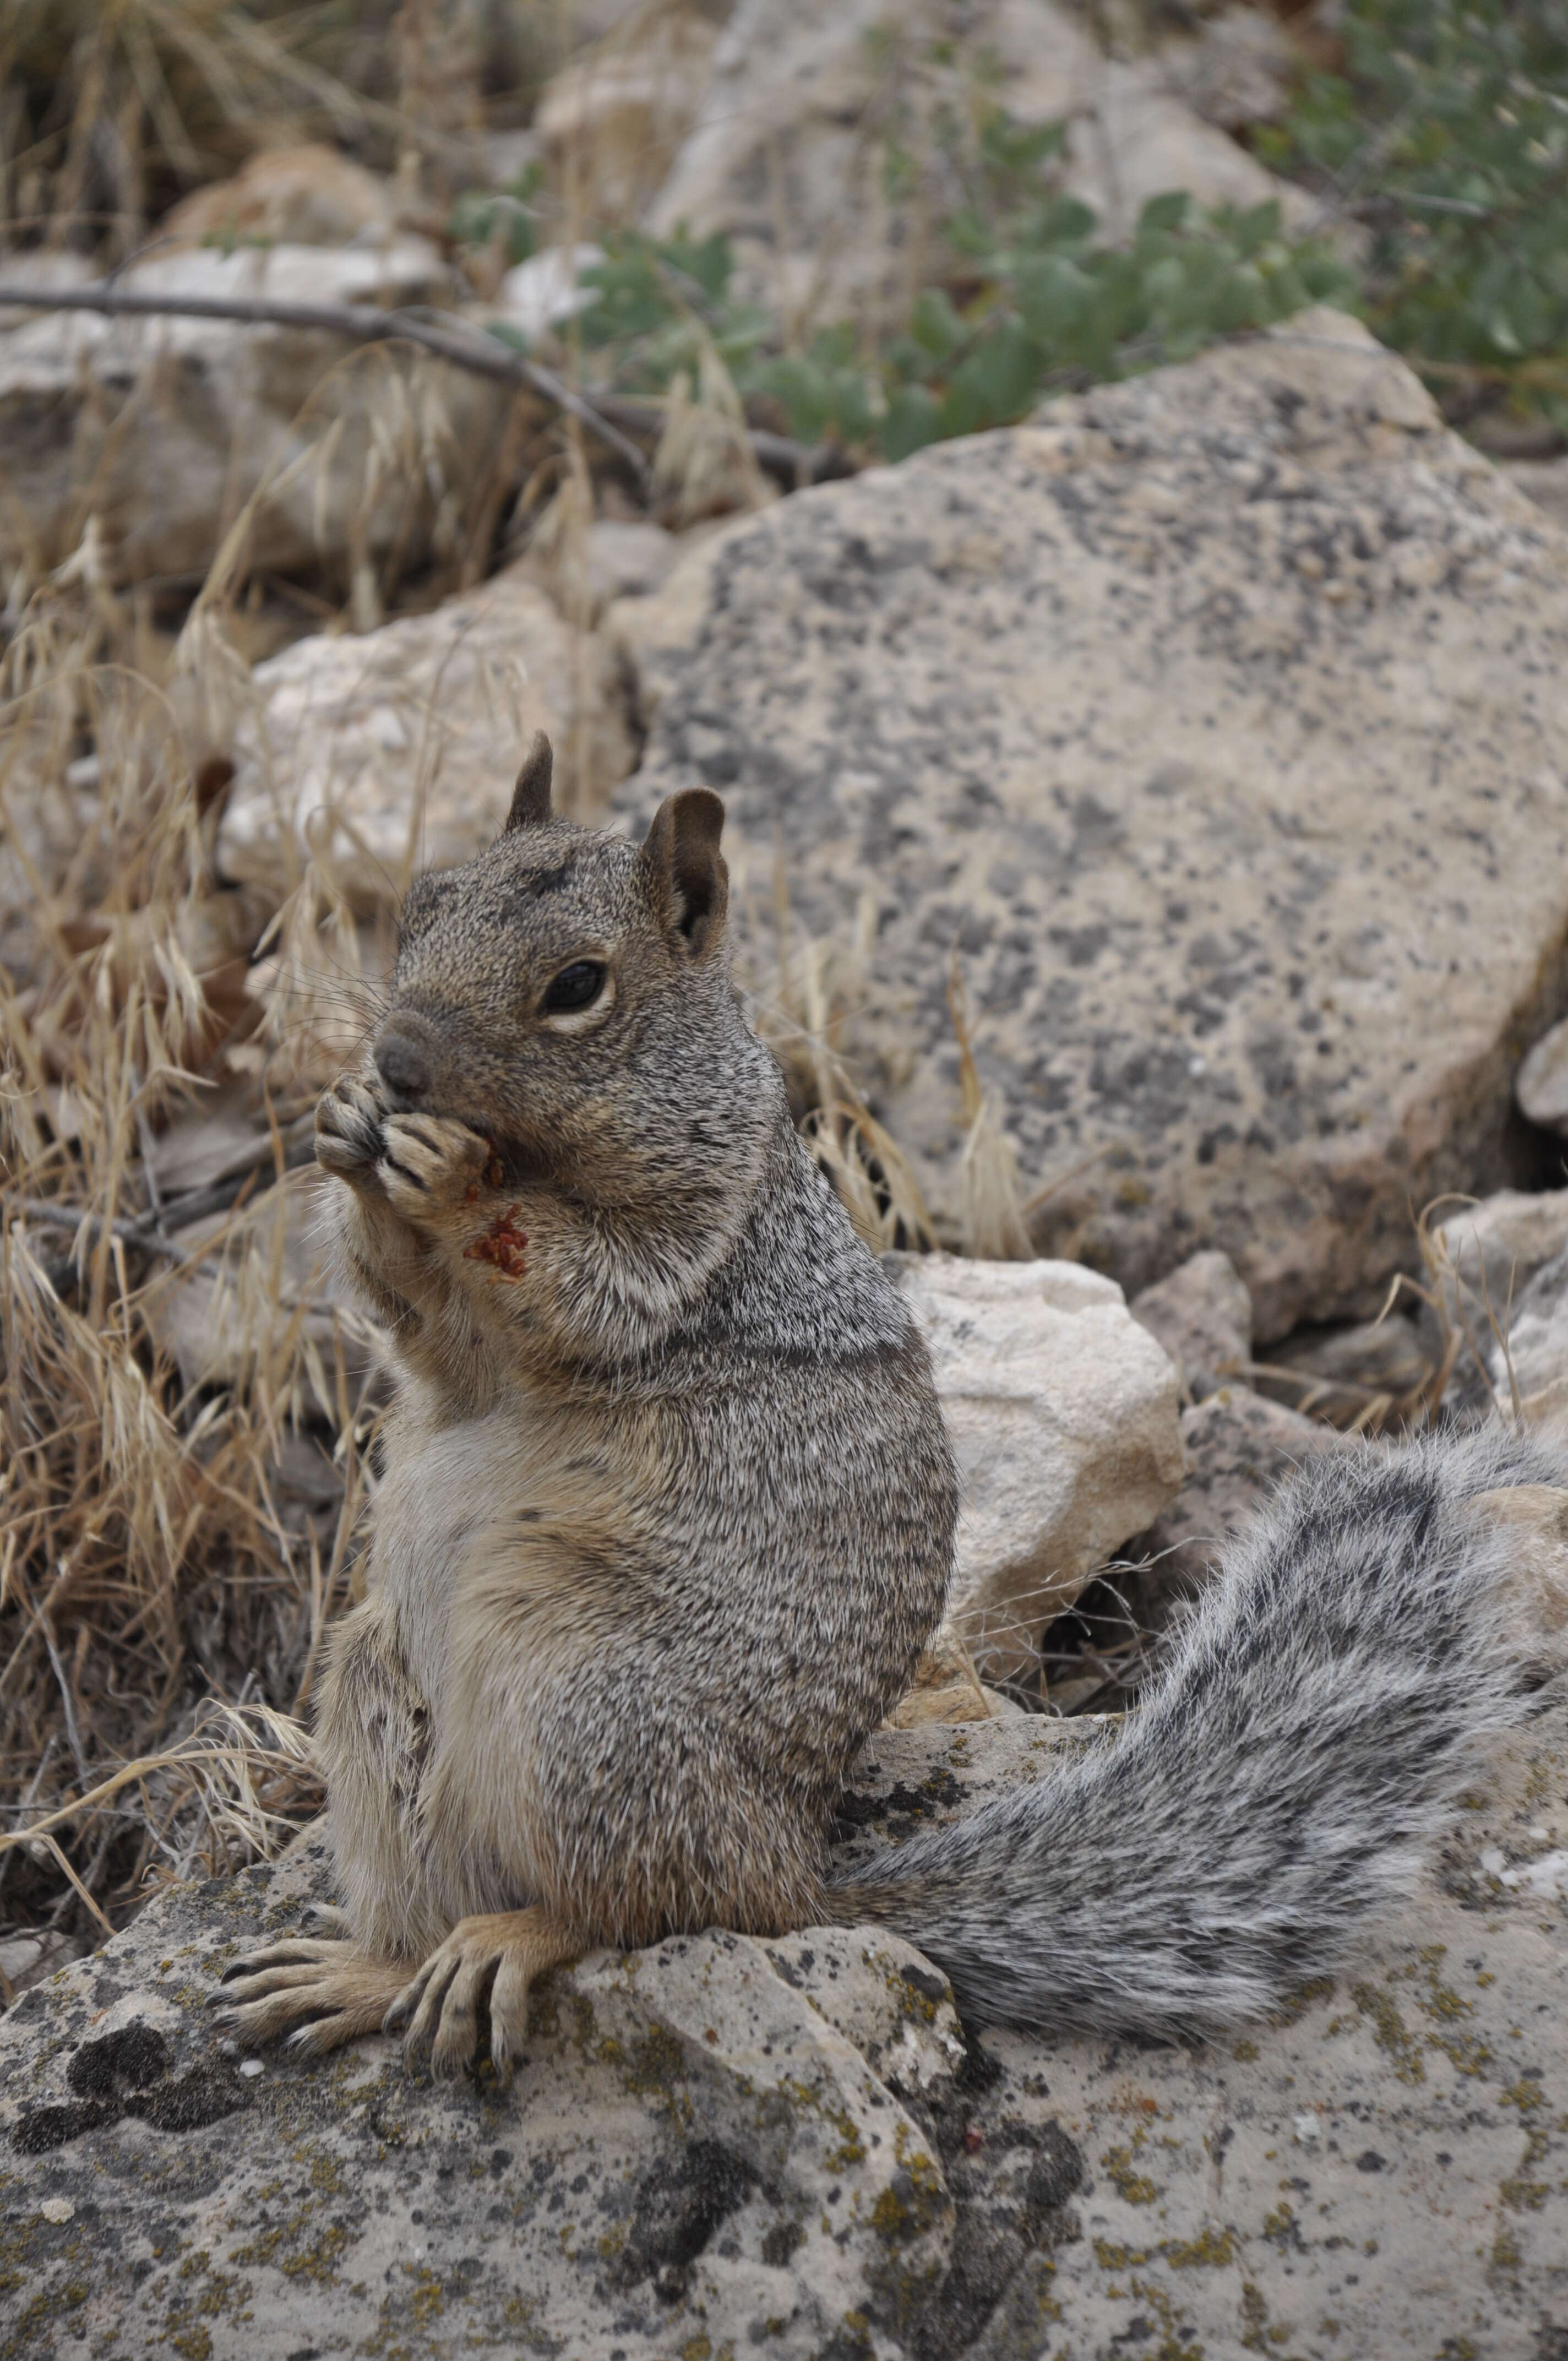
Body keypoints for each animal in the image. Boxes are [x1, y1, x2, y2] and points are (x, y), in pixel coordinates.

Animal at [217, 727, 1567, 2077]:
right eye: (420, 903)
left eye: (578, 984)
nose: (397, 1061)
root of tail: (800, 1880)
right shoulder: (460, 1350)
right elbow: (428, 1335)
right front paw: (350, 1131)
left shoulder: (698, 1244)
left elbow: (573, 1281)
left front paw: (443, 1178)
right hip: (376, 1698)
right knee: (440, 1898)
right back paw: (358, 1969)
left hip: (582, 1709)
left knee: (640, 1909)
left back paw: (516, 1936)